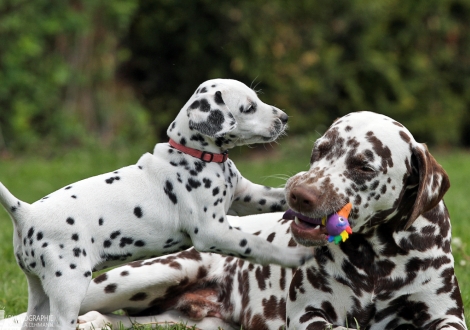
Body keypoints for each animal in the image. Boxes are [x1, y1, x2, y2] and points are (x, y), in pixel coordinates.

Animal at [0, 78, 318, 328]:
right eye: (249, 107)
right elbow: (255, 245)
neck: (196, 155)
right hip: (69, 288)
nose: (285, 118)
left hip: (40, 292)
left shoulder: (247, 197)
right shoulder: (212, 232)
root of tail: (25, 212)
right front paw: (294, 257)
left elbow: (278, 196)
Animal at [0, 112, 462, 328]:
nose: (299, 194)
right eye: (319, 150)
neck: (376, 261)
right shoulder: (311, 317)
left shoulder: (448, 317)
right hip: (128, 280)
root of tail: (26, 212)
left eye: (364, 165)